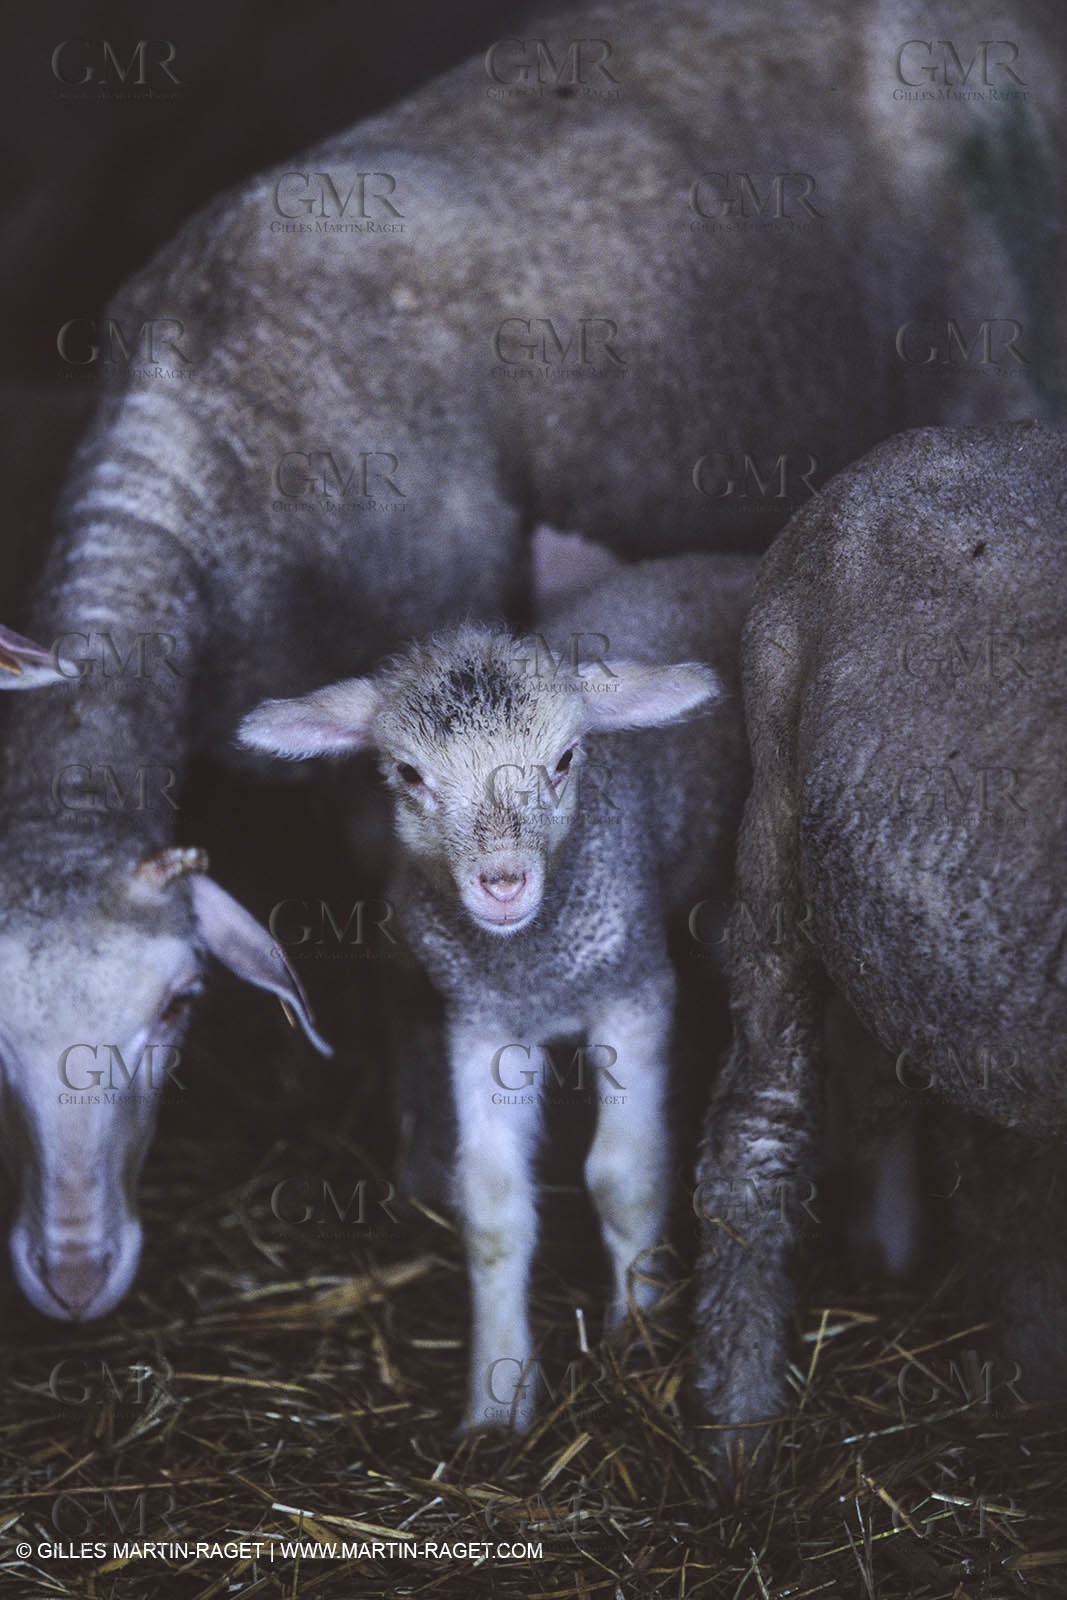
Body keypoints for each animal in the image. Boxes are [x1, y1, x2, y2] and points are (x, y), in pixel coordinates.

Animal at [239, 551, 756, 1428]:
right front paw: (496, 1394)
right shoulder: (481, 1025)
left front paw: (635, 1332)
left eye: (566, 759)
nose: (503, 883)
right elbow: (490, 1206)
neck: (529, 965)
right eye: (408, 773)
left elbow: (623, 1177)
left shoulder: (632, 992)